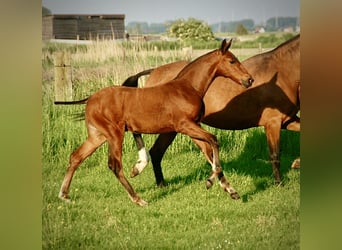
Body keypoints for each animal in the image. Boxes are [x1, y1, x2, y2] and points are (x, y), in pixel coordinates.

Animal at [56, 39, 252, 206]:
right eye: (232, 61)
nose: (249, 79)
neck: (187, 88)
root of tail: (90, 100)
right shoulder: (185, 125)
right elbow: (214, 140)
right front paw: (211, 182)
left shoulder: (193, 126)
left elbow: (208, 150)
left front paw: (230, 190)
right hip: (114, 134)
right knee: (115, 165)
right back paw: (138, 199)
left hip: (98, 136)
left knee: (76, 157)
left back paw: (64, 195)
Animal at [128, 35, 300, 188]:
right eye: (232, 61)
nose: (249, 80)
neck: (284, 73)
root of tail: (154, 72)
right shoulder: (273, 123)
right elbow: (275, 155)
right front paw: (279, 184)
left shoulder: (288, 120)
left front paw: (296, 164)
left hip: (173, 128)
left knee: (157, 151)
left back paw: (162, 184)